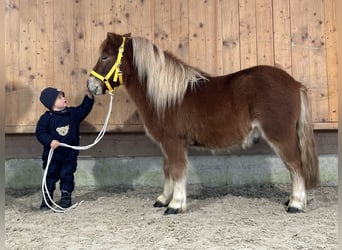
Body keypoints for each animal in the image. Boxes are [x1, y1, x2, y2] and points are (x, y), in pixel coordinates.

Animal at [87, 31, 320, 215]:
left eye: (105, 56)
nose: (91, 86)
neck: (166, 96)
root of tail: (295, 83)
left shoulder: (174, 142)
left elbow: (178, 170)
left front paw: (175, 205)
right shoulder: (165, 145)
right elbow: (167, 169)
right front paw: (163, 199)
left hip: (280, 136)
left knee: (296, 166)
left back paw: (296, 204)